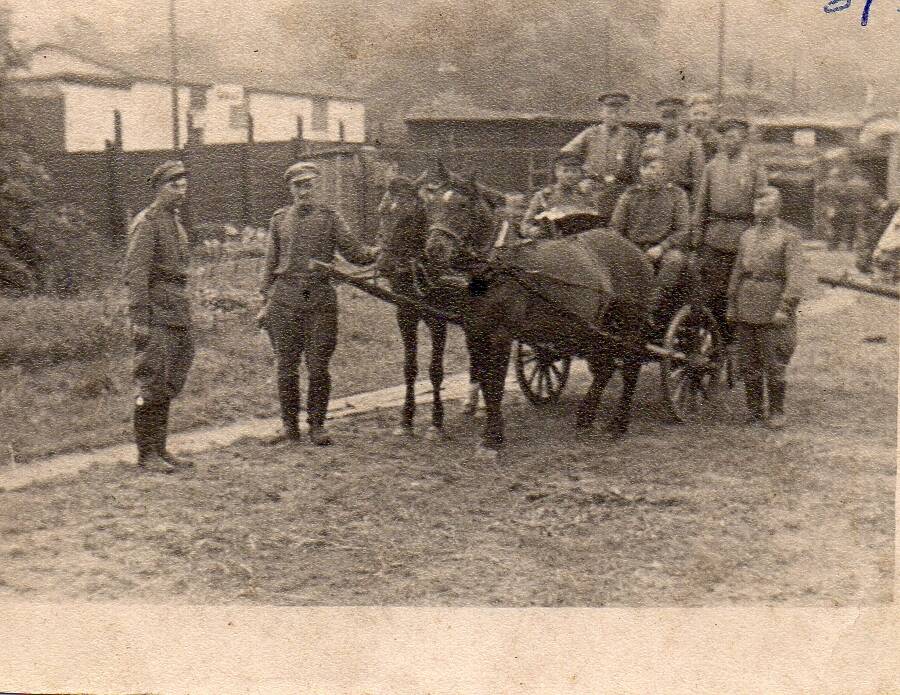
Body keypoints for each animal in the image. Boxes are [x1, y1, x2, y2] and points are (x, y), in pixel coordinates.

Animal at [422, 166, 652, 460]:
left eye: (462, 206)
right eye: (432, 204)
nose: (434, 250)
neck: (496, 267)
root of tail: (635, 250)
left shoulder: (501, 335)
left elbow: (495, 384)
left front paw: (491, 440)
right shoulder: (475, 331)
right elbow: (484, 380)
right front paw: (493, 432)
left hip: (627, 327)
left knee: (631, 366)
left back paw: (618, 424)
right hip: (594, 329)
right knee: (605, 367)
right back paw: (585, 419)